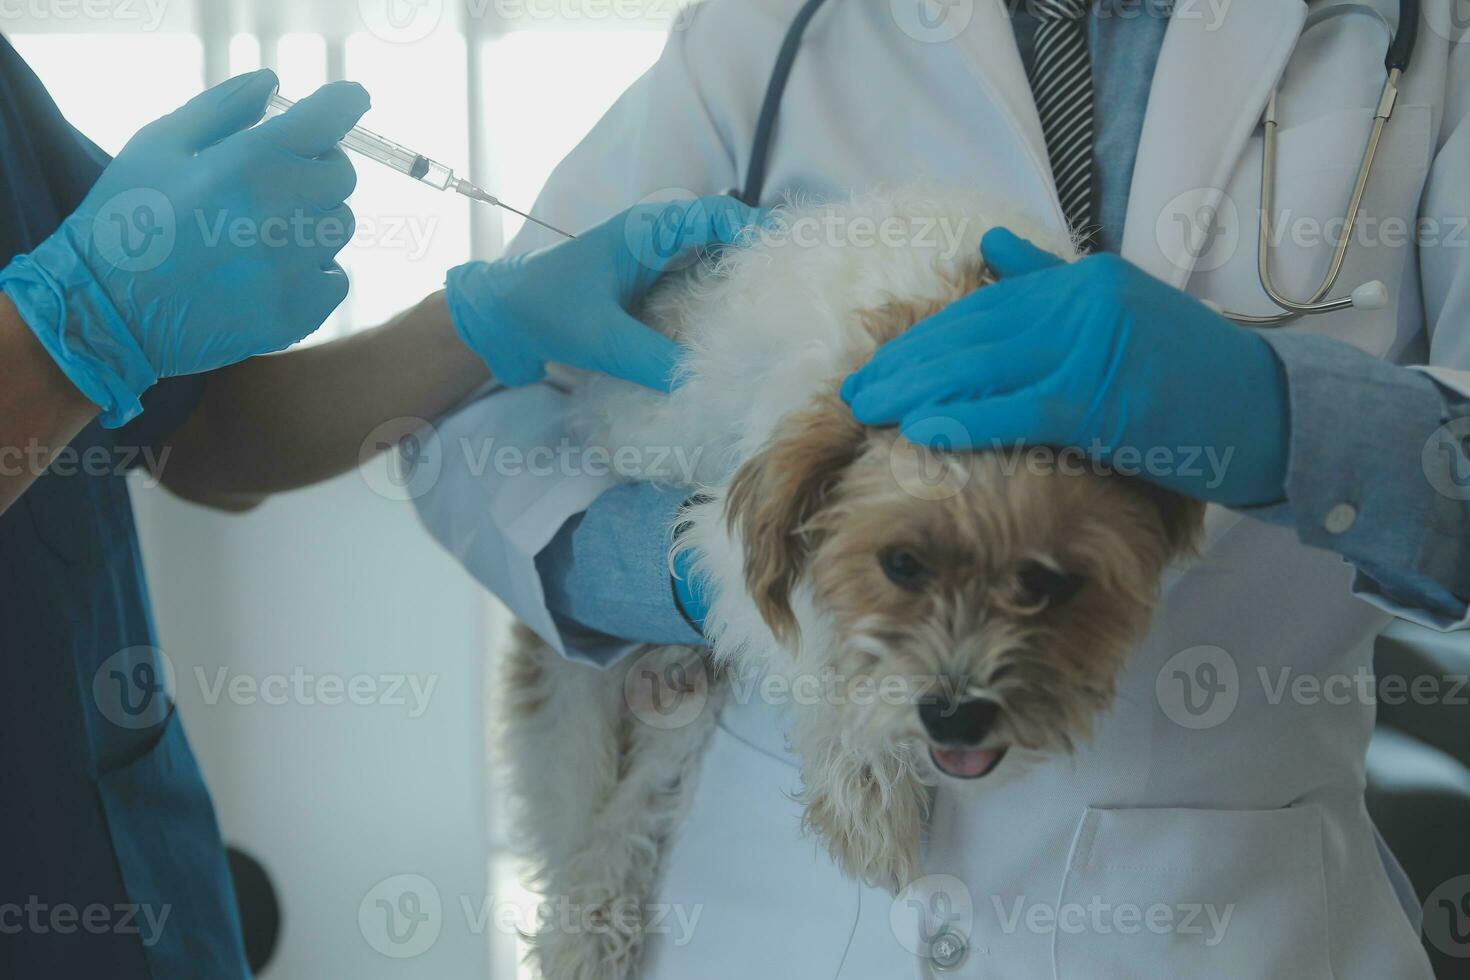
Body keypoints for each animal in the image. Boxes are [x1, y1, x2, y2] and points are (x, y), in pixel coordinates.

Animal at [493, 188, 1205, 975]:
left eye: (1047, 582)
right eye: (901, 566)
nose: (958, 715)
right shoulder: (726, 539)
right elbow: (813, 654)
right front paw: (866, 795)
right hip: (569, 689)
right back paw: (585, 923)